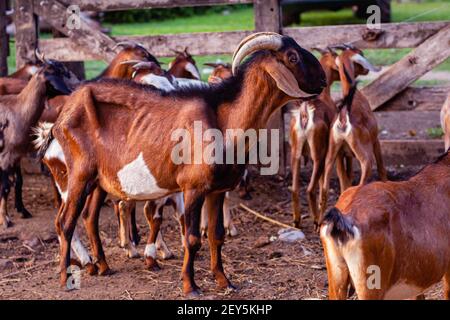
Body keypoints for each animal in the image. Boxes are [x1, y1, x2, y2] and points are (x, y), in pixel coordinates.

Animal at [40, 32, 326, 296]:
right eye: (292, 57)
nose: (323, 80)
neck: (224, 120)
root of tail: (61, 117)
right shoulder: (193, 188)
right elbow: (192, 238)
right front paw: (190, 286)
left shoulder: (217, 190)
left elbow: (216, 235)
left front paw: (224, 281)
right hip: (78, 174)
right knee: (65, 221)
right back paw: (66, 277)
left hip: (99, 180)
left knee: (89, 217)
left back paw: (102, 266)